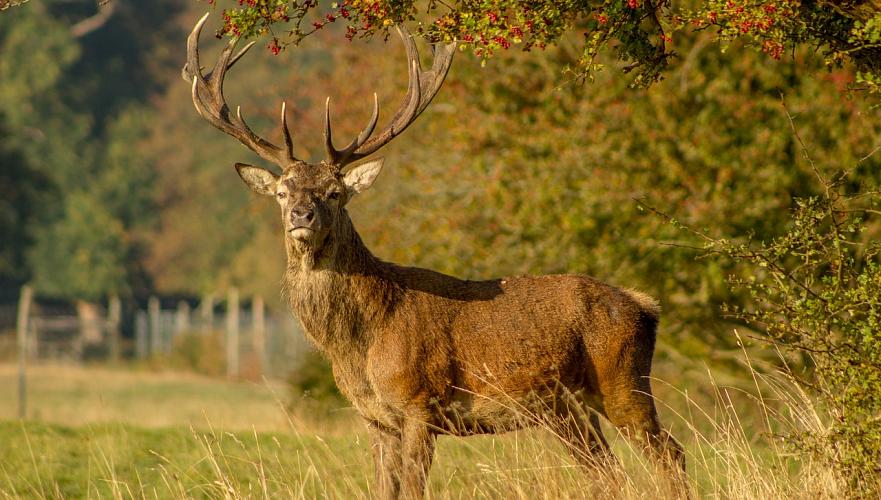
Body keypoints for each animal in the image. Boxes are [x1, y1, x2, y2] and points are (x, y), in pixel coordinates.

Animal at [182, 12, 684, 500]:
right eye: (282, 192)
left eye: (335, 192)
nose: (301, 215)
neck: (359, 345)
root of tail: (645, 306)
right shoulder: (376, 419)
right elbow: (383, 491)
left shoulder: (421, 403)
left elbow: (412, 489)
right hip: (566, 408)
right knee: (608, 473)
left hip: (622, 381)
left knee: (670, 455)